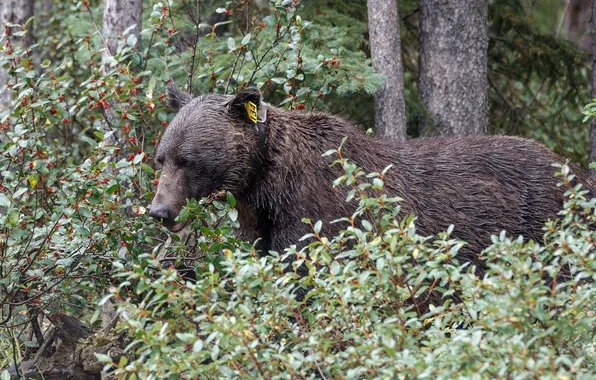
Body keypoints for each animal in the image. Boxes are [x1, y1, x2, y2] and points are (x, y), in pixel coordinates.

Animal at [150, 84, 592, 278]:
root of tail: (577, 170)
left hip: (544, 223)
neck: (266, 184)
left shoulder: (317, 215)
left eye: (187, 160)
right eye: (162, 158)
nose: (159, 210)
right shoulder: (259, 219)